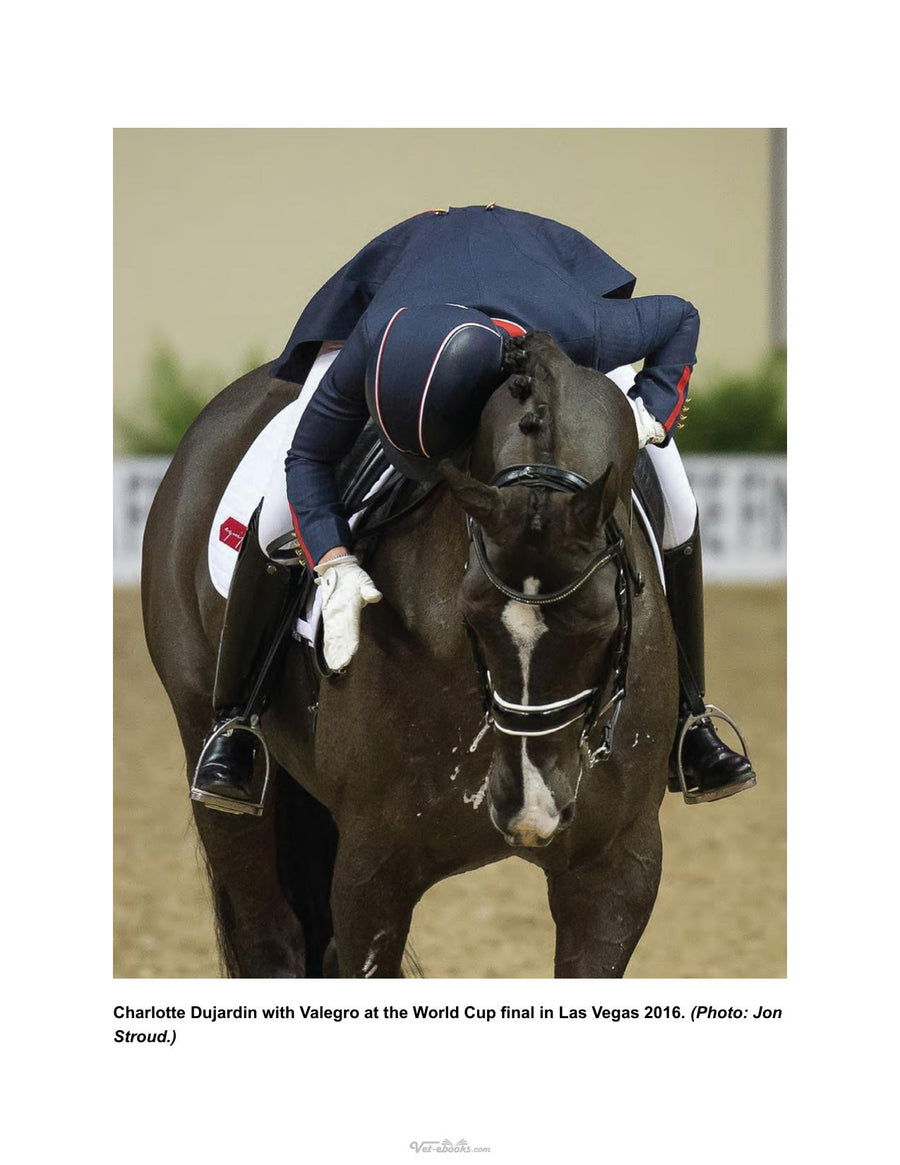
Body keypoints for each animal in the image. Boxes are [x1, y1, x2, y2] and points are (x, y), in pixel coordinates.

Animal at [141, 330, 678, 978]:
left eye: (603, 624)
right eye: (470, 611)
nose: (530, 808)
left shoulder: (617, 868)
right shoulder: (373, 870)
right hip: (209, 751)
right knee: (270, 938)